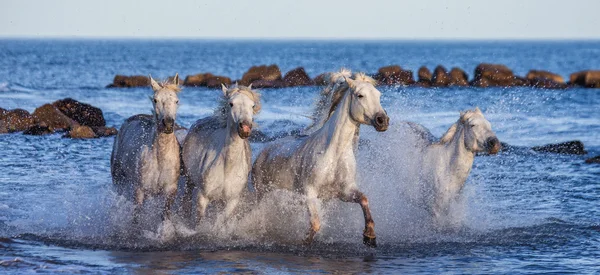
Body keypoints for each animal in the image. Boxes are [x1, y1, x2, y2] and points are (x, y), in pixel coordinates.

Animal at [110, 74, 180, 225]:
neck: (160, 157)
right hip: (119, 180)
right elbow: (136, 217)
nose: (168, 124)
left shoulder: (170, 192)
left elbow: (165, 217)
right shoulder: (140, 191)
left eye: (176, 101)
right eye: (155, 100)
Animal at [180, 84, 260, 229]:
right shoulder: (202, 197)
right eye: (231, 104)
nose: (245, 128)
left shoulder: (232, 201)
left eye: (252, 105)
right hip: (189, 180)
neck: (227, 165)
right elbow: (199, 221)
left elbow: (220, 220)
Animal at [250, 69, 386, 248]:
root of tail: (264, 151)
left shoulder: (344, 191)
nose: (383, 120)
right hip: (261, 192)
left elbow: (363, 199)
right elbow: (315, 223)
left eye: (378, 95)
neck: (334, 152)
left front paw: (369, 236)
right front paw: (304, 242)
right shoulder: (310, 192)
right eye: (360, 95)